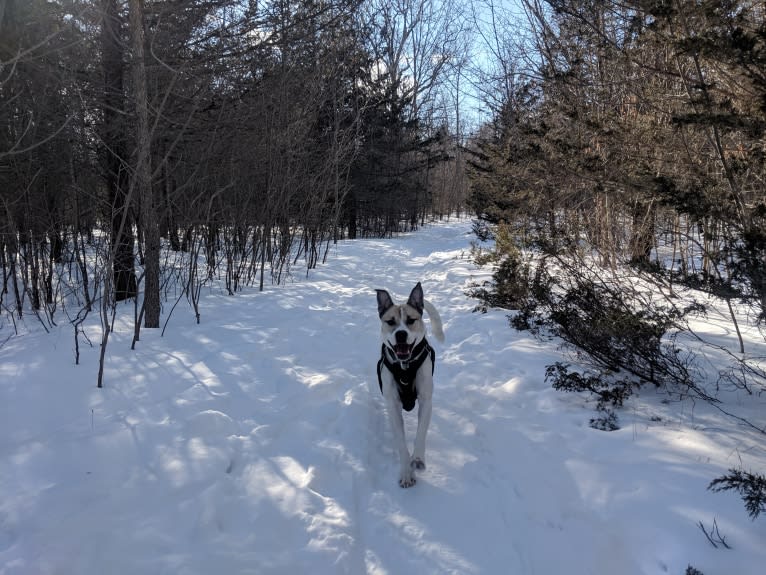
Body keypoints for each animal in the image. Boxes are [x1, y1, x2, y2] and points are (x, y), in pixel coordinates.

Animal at [376, 282, 444, 488]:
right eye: (391, 322)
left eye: (411, 320)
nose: (401, 334)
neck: (405, 366)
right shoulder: (393, 405)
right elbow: (400, 440)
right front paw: (406, 472)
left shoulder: (426, 400)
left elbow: (421, 432)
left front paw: (418, 459)